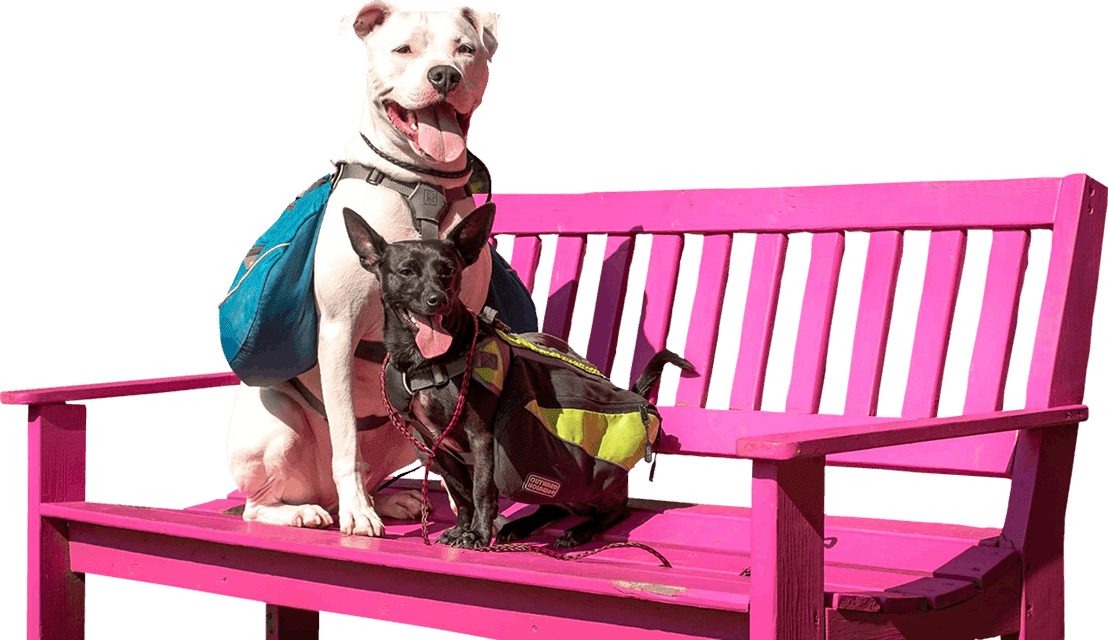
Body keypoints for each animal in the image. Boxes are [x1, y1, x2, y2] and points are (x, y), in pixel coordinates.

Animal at [223, 2, 498, 535]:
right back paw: (313, 511)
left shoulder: (465, 327)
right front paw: (360, 517)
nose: (445, 75)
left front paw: (466, 512)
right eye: (402, 49)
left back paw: (391, 501)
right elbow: (347, 436)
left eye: (465, 49)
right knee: (260, 504)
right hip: (276, 426)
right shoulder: (338, 329)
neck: (422, 182)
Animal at [343, 205, 691, 549]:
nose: (437, 299)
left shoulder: (481, 438)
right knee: (555, 505)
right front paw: (462, 529)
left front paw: (477, 535)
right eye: (406, 272)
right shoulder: (433, 444)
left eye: (449, 271)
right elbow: (461, 492)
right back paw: (521, 526)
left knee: (615, 509)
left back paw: (580, 531)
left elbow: (481, 492)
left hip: (592, 486)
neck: (428, 363)